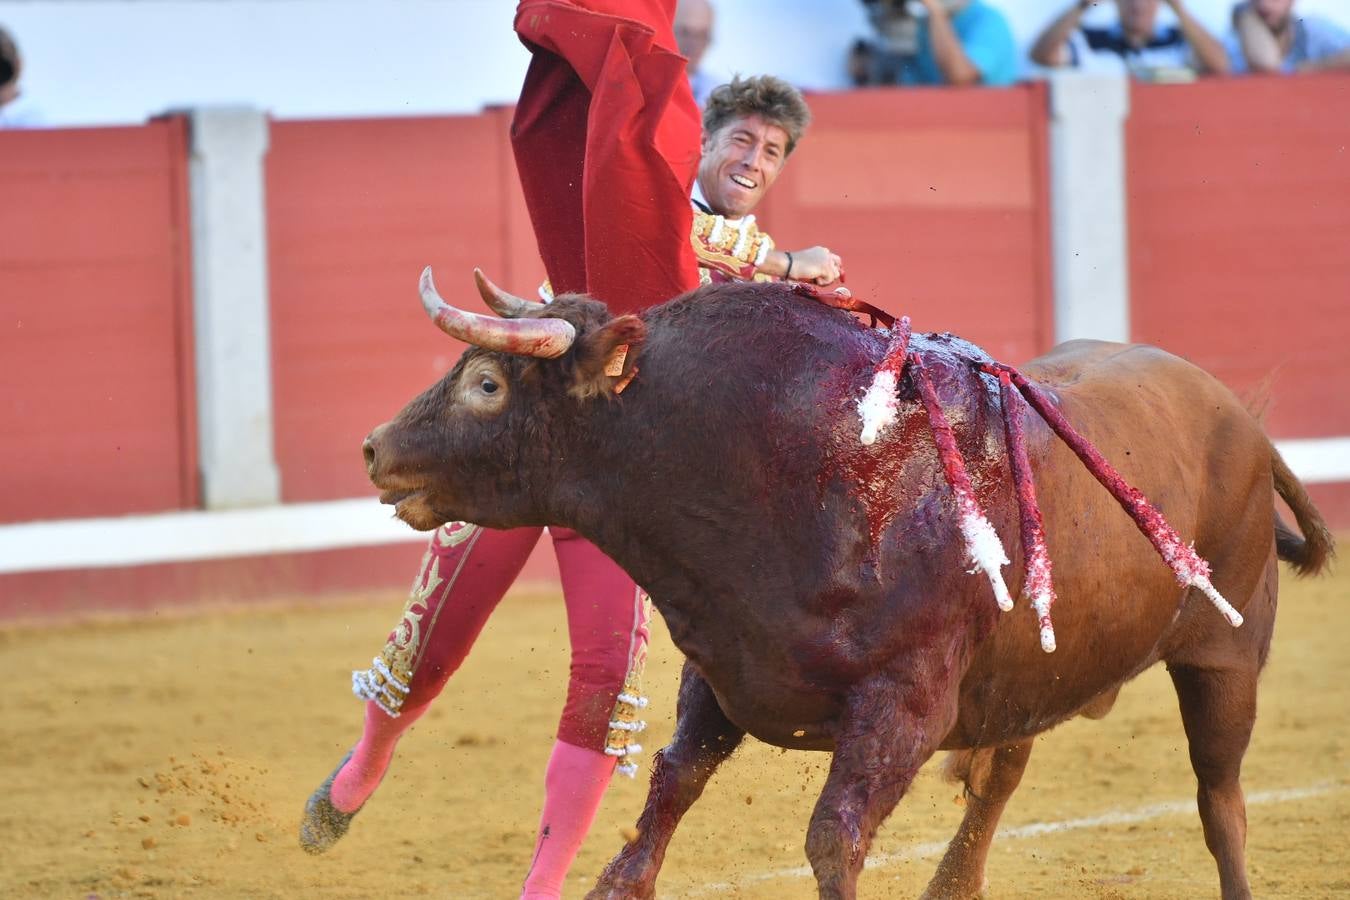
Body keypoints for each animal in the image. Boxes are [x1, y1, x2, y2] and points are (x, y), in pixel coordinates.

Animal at [359, 269, 1328, 900]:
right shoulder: (720, 674)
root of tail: (1243, 419)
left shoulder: (902, 706)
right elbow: (666, 797)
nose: (375, 449)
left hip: (1225, 658)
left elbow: (834, 838)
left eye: (487, 384)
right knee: (1005, 774)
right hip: (1037, 668)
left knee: (1220, 802)